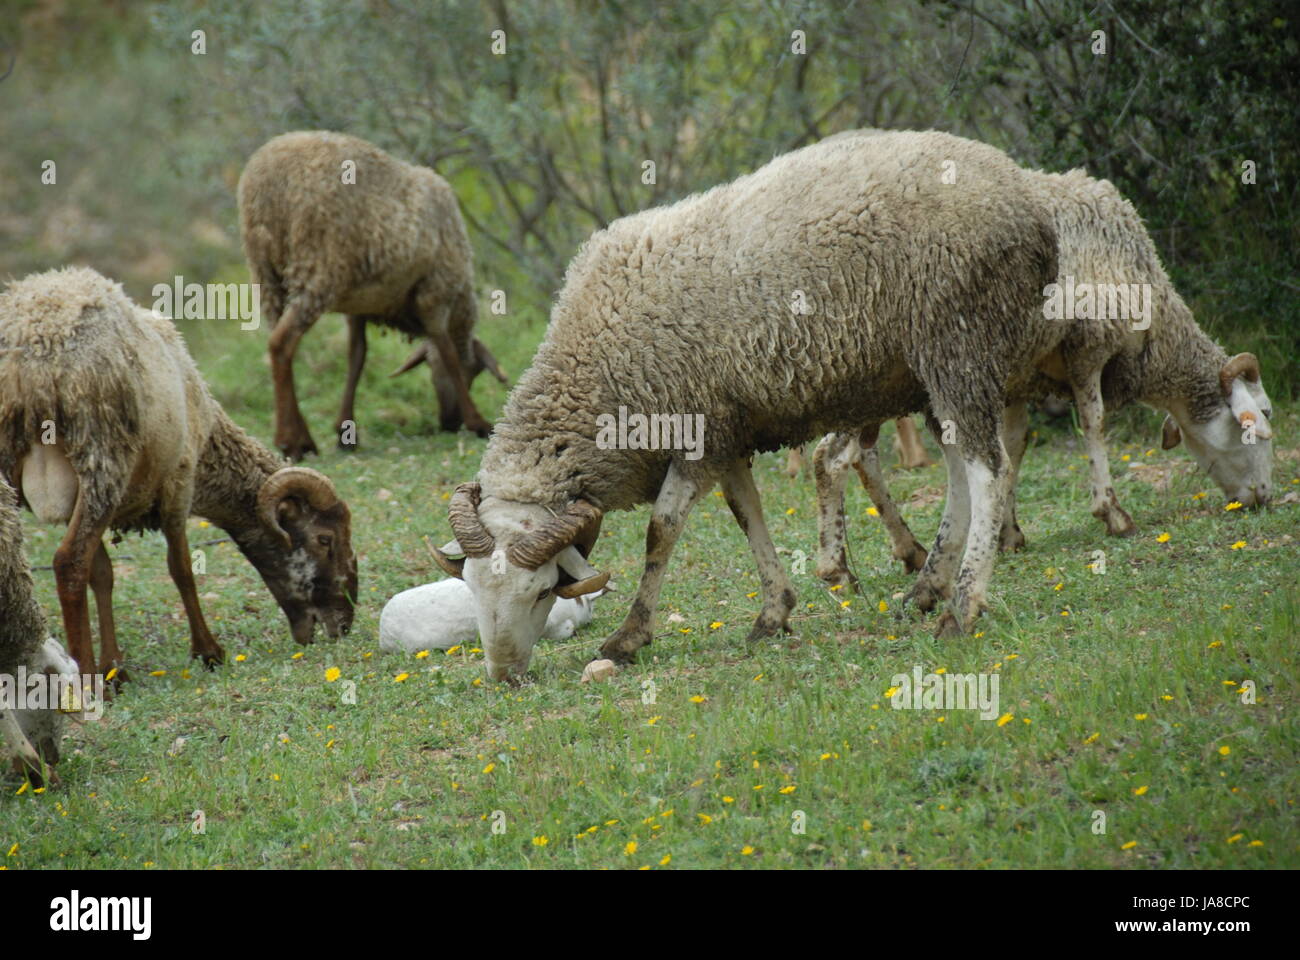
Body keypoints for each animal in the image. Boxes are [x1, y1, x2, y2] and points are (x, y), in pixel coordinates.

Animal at [0, 267, 359, 681]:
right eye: (324, 539)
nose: (345, 623)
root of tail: (32, 359)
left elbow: (103, 575)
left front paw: (116, 668)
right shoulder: (178, 481)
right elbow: (181, 567)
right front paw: (208, 651)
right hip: (102, 457)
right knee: (68, 563)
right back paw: (86, 675)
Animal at [238, 130, 506, 461]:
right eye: (475, 373)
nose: (449, 423)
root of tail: (270, 181)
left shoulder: (358, 308)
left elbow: (357, 357)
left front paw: (345, 430)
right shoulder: (434, 293)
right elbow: (448, 353)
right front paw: (477, 421)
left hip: (268, 275)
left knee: (280, 347)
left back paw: (302, 436)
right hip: (318, 270)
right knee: (281, 344)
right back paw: (291, 440)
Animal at [429, 129, 1062, 680]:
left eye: (541, 592)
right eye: (470, 587)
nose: (503, 676)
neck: (594, 368)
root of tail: (1025, 196)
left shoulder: (695, 431)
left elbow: (661, 531)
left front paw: (629, 637)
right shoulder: (725, 433)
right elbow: (746, 511)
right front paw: (774, 611)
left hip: (958, 342)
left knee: (988, 470)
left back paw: (963, 606)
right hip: (926, 372)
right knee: (959, 472)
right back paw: (926, 588)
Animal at [811, 163, 1275, 591]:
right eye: (1262, 419)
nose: (1264, 498)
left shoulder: (1015, 381)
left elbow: (1013, 446)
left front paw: (1007, 533)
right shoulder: (1088, 346)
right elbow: (1094, 423)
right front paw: (1112, 513)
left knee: (861, 458)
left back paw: (909, 550)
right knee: (830, 458)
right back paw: (837, 568)